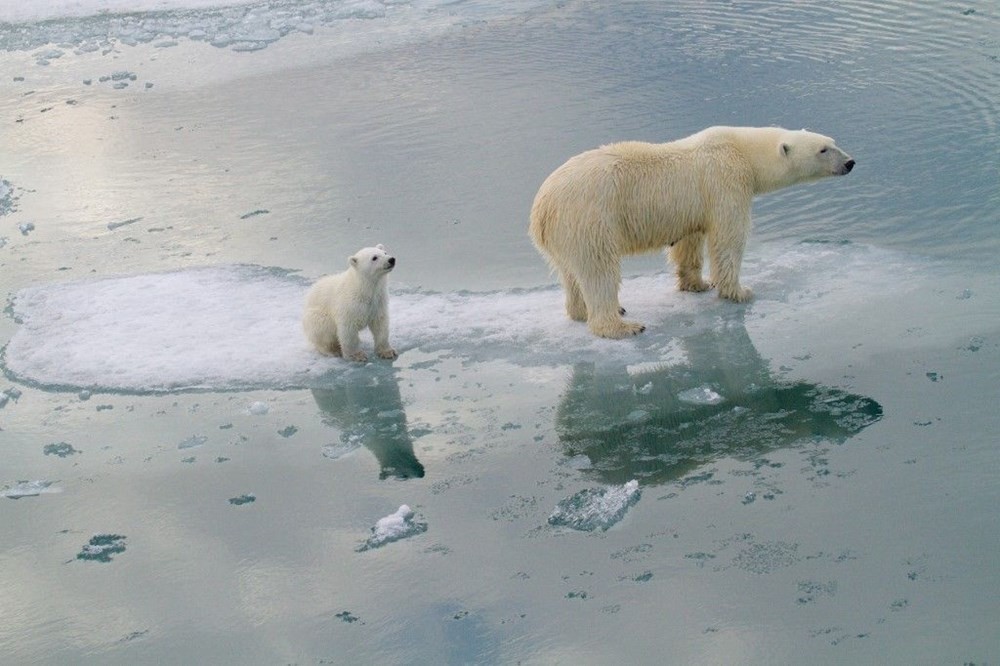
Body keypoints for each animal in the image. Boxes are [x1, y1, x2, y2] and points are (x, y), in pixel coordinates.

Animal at [528, 126, 856, 338]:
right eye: (823, 149)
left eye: (832, 141)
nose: (851, 162)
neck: (742, 149)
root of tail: (542, 208)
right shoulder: (725, 182)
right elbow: (728, 238)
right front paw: (739, 291)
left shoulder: (693, 207)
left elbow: (690, 242)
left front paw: (697, 284)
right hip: (590, 218)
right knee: (599, 270)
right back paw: (622, 325)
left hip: (565, 234)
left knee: (571, 273)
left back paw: (581, 312)